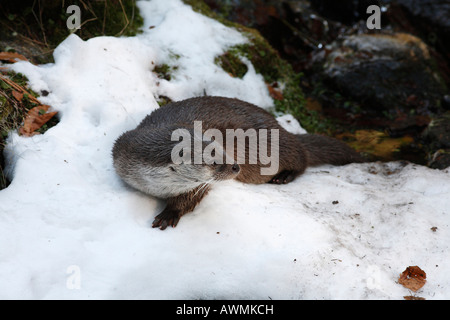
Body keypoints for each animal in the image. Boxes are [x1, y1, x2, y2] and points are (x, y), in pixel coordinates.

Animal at [111, 95, 362, 230]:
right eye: (212, 161)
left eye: (220, 148)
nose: (235, 166)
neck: (156, 186)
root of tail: (280, 127)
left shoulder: (196, 188)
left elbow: (187, 200)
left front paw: (169, 214)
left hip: (272, 150)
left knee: (301, 156)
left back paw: (284, 176)